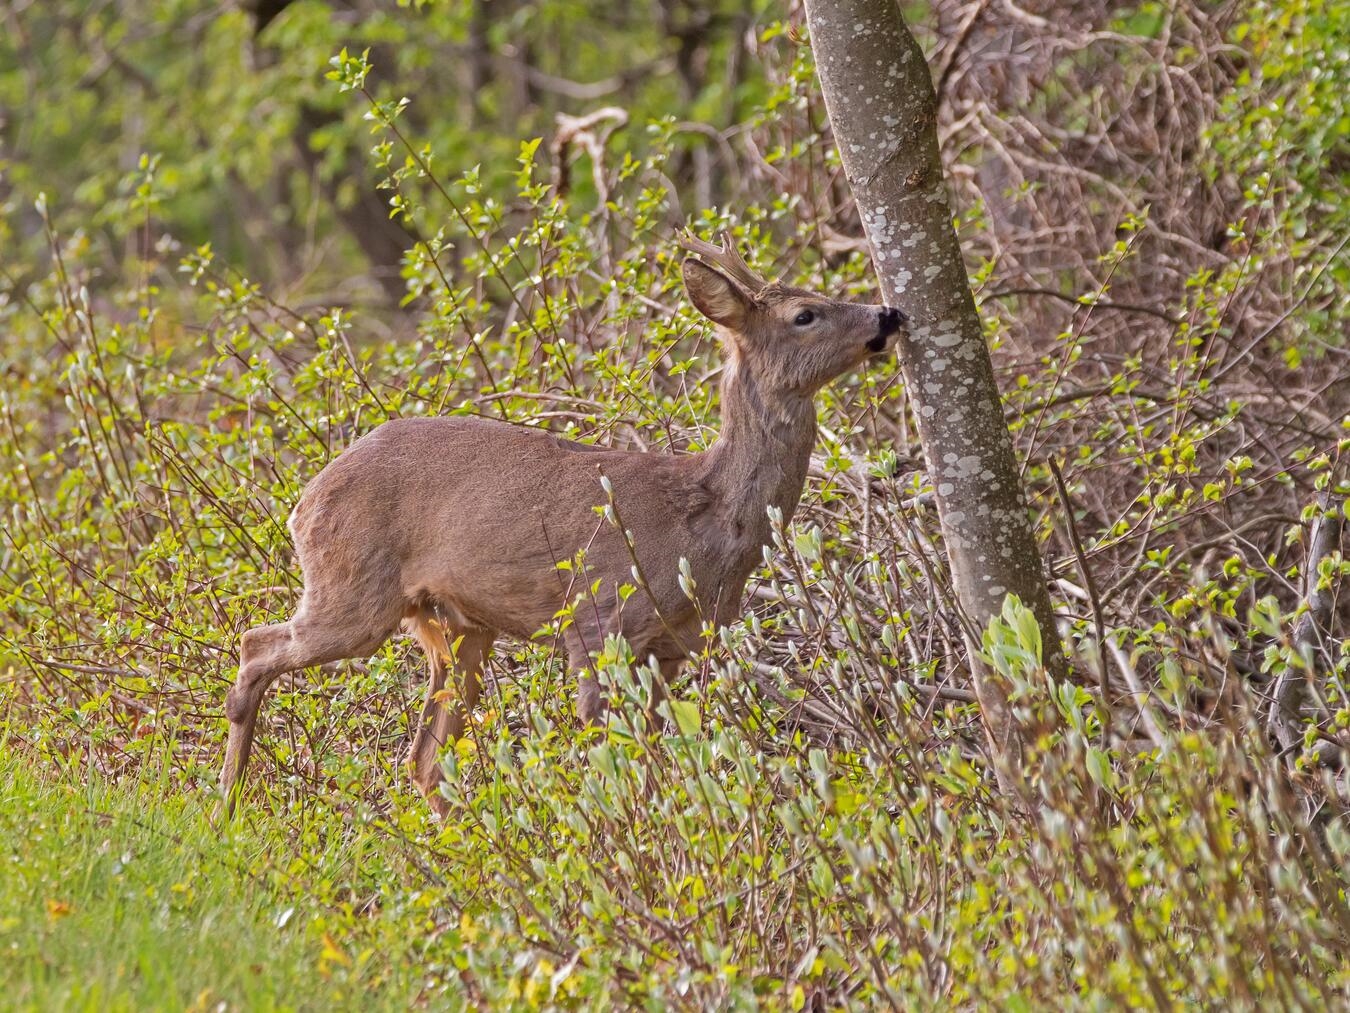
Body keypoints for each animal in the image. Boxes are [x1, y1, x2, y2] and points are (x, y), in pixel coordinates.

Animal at [220, 232, 908, 818]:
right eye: (805, 315)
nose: (889, 315)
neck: (704, 518)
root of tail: (303, 500)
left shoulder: (672, 648)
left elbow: (648, 761)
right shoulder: (598, 621)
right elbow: (611, 761)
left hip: (459, 627)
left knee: (424, 757)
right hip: (353, 589)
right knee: (257, 645)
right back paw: (227, 806)